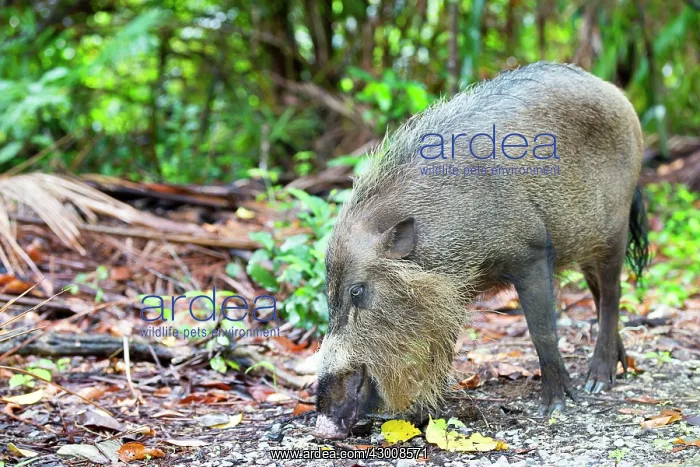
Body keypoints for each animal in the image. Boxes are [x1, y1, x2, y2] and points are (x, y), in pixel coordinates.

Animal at [314, 62, 650, 439]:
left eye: (357, 291)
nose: (321, 426)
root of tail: (616, 93)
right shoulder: (451, 294)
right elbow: (444, 344)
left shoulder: (531, 252)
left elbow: (543, 332)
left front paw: (554, 406)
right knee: (597, 293)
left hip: (615, 230)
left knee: (612, 294)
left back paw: (598, 381)